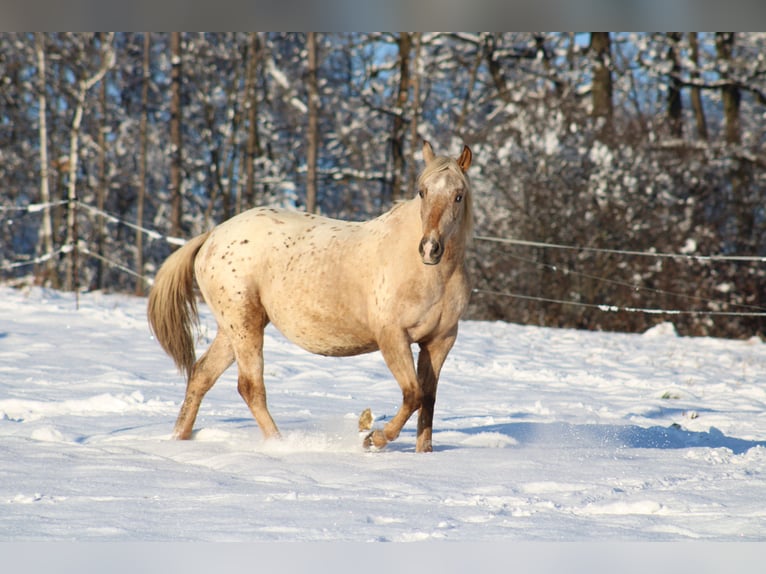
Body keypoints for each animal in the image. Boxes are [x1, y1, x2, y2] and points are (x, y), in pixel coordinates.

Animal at [148, 141, 474, 454]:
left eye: (458, 196)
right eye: (422, 191)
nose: (430, 248)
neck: (428, 273)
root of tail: (212, 236)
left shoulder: (439, 341)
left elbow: (428, 400)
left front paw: (423, 453)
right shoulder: (392, 337)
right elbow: (413, 394)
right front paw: (372, 438)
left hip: (232, 329)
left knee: (201, 374)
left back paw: (179, 438)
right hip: (244, 326)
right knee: (250, 387)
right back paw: (281, 444)